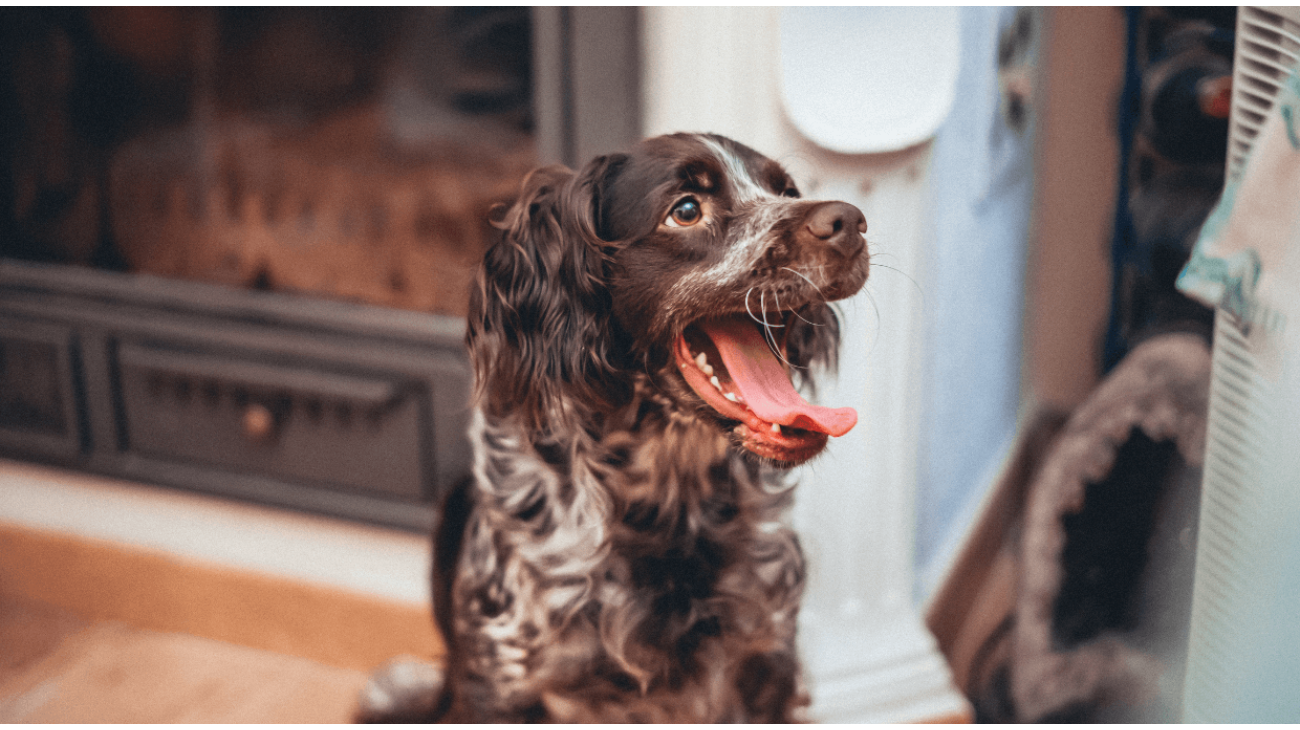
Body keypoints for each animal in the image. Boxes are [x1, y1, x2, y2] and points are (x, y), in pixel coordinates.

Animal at [356, 133, 873, 717]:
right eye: (686, 210)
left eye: (785, 191)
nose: (849, 222)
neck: (668, 508)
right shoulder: (499, 683)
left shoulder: (769, 661)